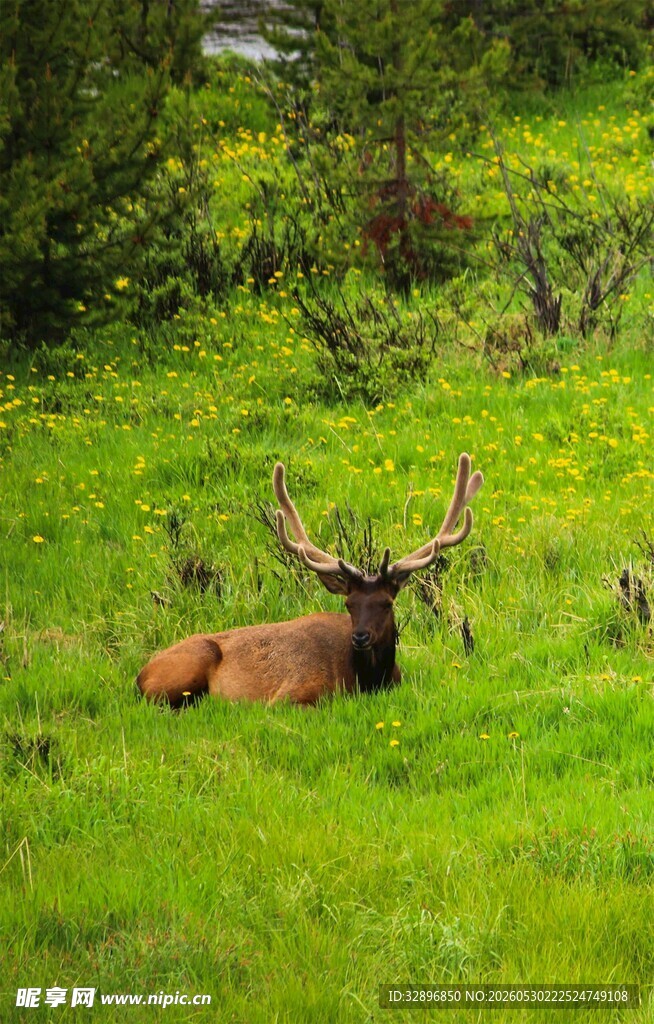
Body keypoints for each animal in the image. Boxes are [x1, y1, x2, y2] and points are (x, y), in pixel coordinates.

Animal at [137, 453, 483, 706]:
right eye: (349, 603)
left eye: (386, 603)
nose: (360, 636)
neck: (368, 680)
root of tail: (140, 674)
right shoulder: (290, 695)